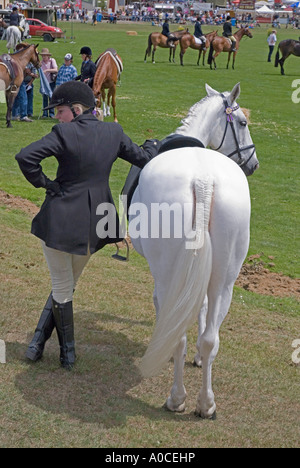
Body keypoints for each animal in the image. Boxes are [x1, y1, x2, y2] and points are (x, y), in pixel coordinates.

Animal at [127, 82, 258, 418]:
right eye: (243, 123)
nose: (253, 163)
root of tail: (203, 179)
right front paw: (199, 357)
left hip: (168, 275)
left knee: (178, 336)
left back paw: (177, 398)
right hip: (225, 280)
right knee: (212, 337)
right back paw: (206, 402)